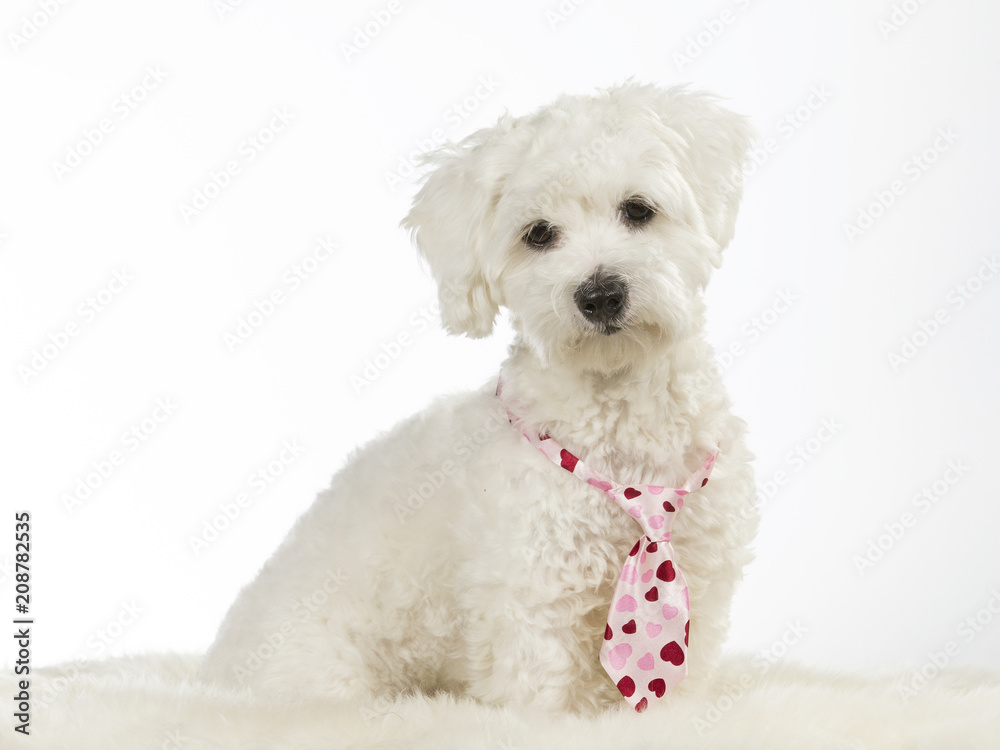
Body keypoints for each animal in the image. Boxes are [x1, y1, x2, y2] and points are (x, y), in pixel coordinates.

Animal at [199, 83, 752, 716]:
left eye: (638, 209)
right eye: (538, 233)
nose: (600, 294)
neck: (624, 441)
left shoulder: (701, 590)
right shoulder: (530, 608)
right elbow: (538, 701)